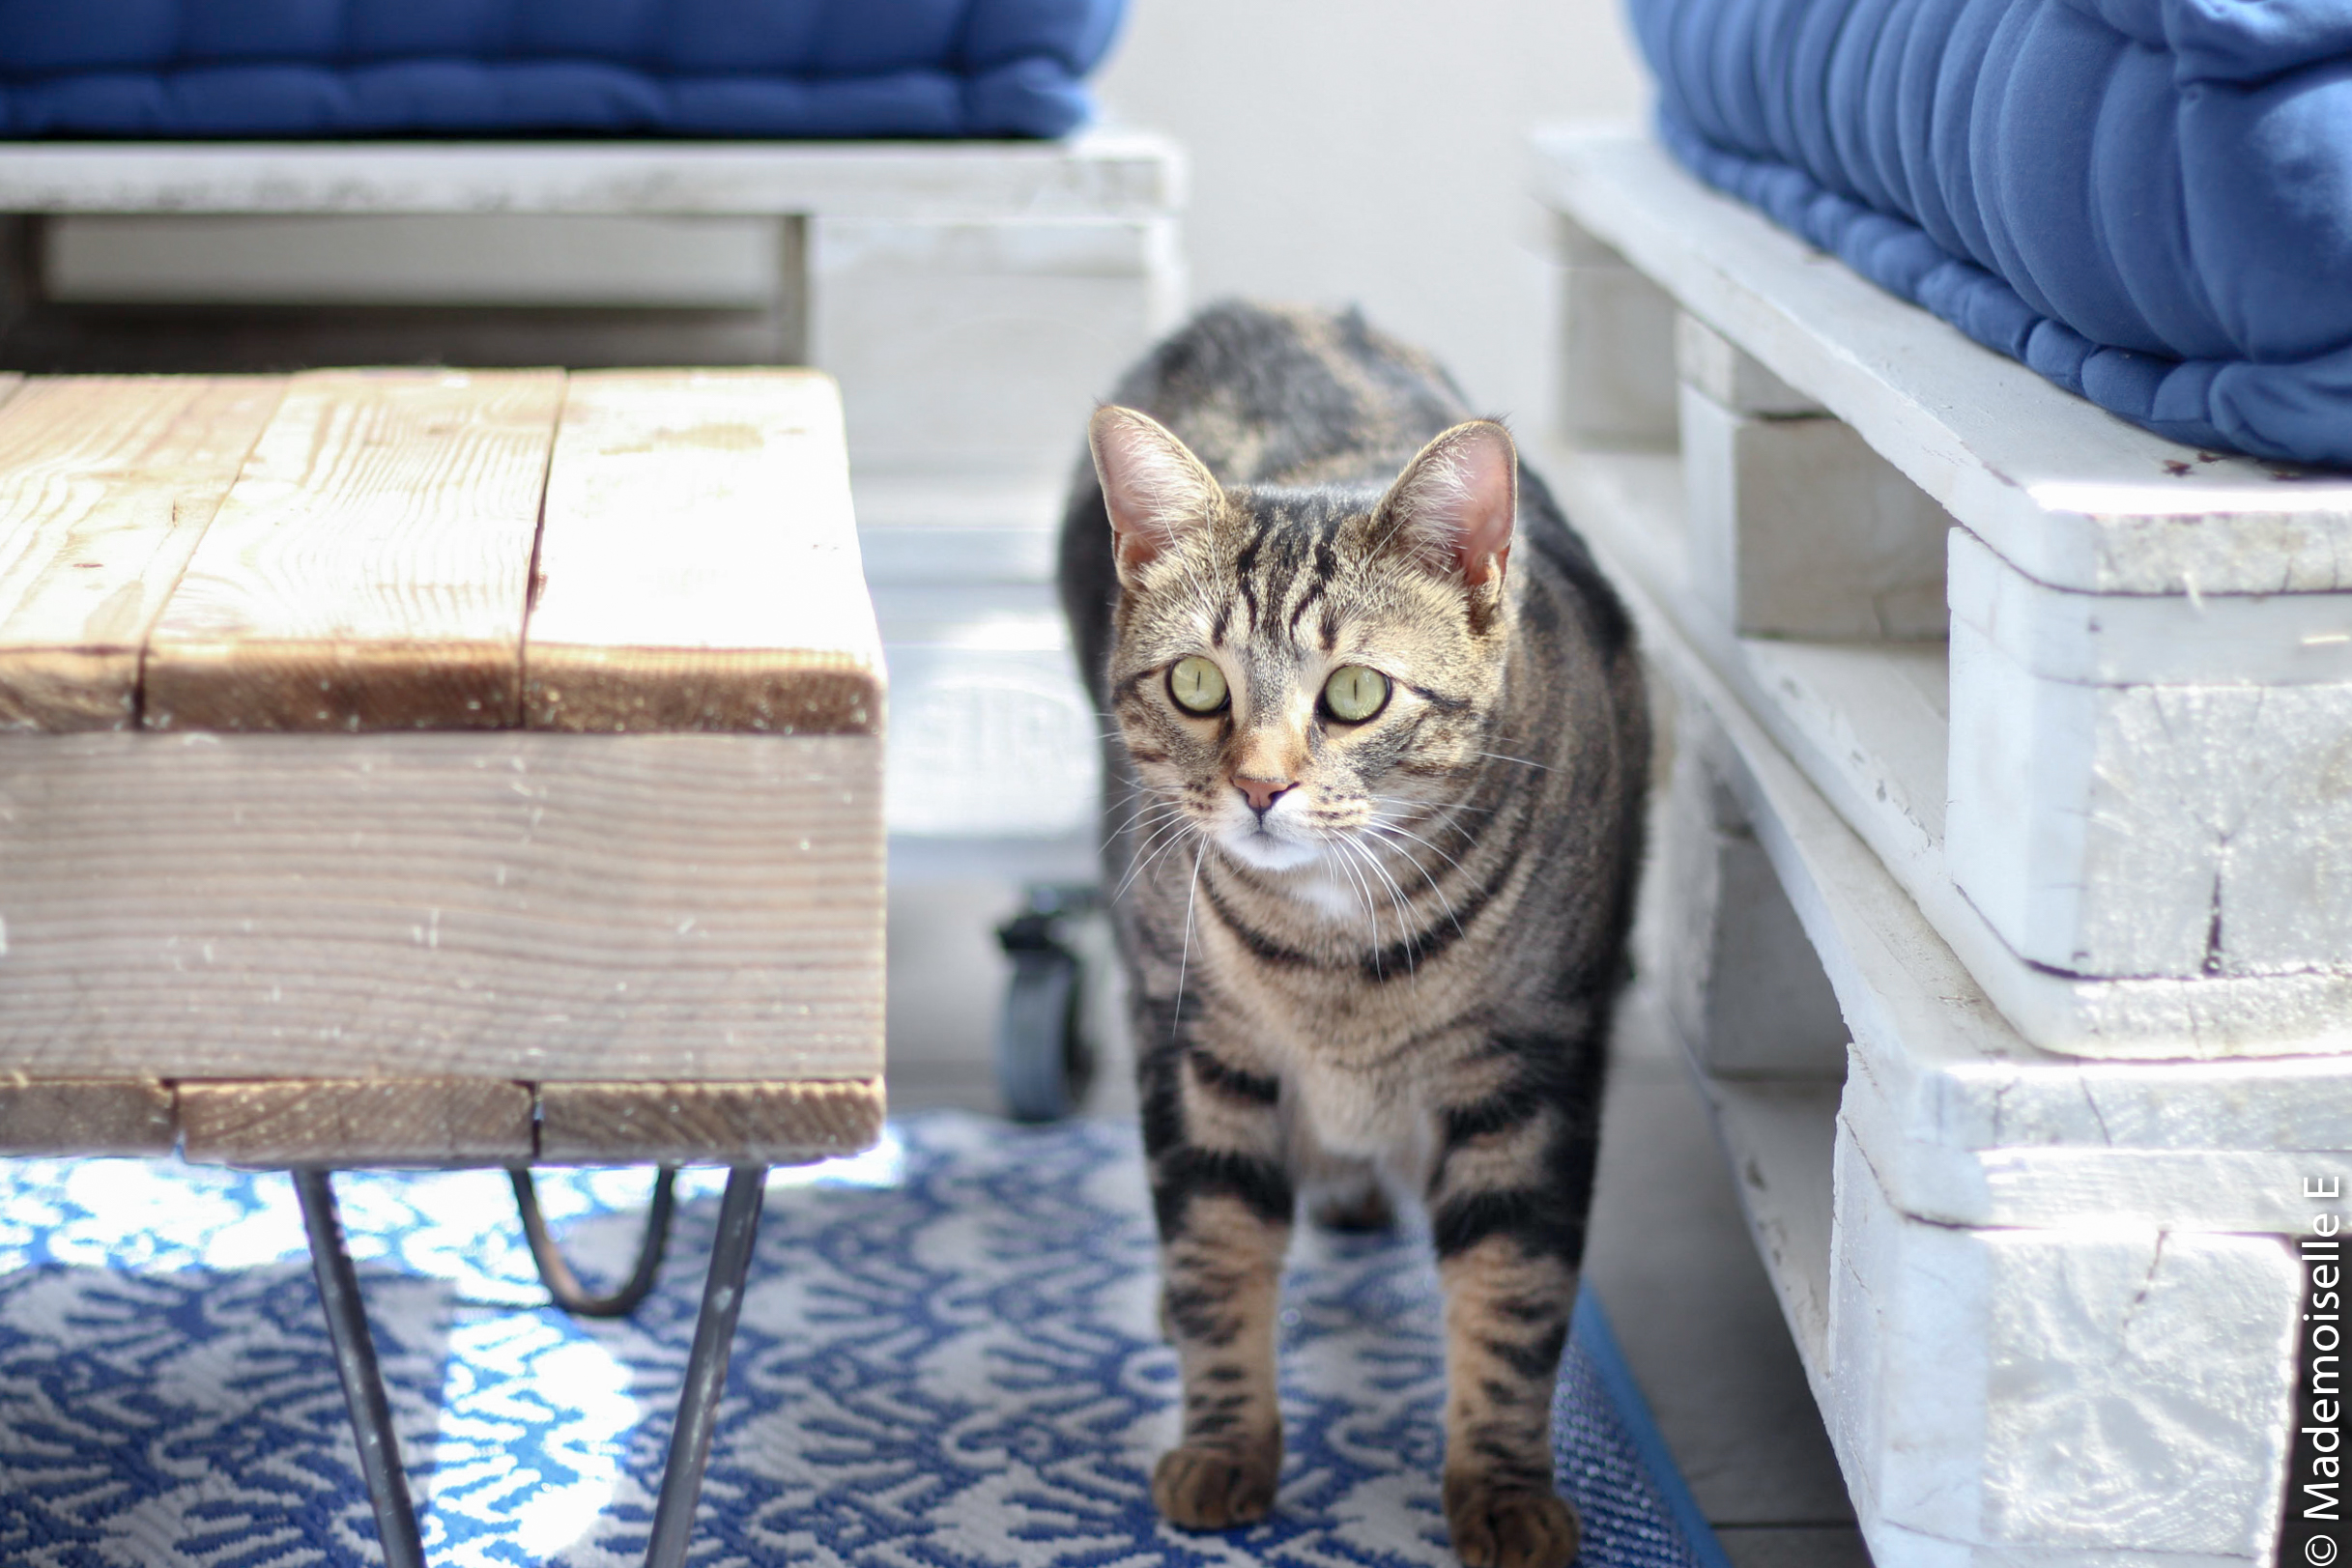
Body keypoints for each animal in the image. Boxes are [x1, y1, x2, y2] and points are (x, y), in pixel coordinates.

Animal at [1068, 305, 1655, 1568]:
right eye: (1197, 684)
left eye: (1353, 695)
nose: (1259, 788)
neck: (1336, 964)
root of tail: (1250, 307)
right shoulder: (1198, 1046)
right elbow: (1218, 1251)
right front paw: (1225, 1447)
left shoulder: (1535, 1068)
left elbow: (1512, 1295)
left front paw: (1503, 1491)